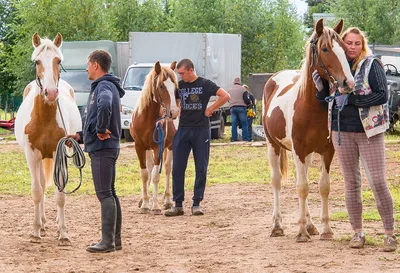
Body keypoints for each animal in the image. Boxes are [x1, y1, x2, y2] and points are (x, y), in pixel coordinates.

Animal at [14, 32, 81, 244]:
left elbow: (60, 194)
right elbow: (37, 191)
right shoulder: (31, 155)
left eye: (58, 60)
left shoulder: (60, 152)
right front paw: (36, 231)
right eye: (37, 61)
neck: (43, 118)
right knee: (42, 186)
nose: (50, 93)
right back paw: (42, 223)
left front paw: (63, 232)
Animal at [129, 60, 179, 214]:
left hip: (170, 146)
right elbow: (145, 174)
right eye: (161, 85)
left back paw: (167, 201)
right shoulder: (139, 147)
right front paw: (145, 203)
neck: (146, 118)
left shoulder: (158, 147)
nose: (174, 112)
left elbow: (156, 175)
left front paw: (155, 205)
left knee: (168, 169)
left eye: (175, 86)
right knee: (150, 169)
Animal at [264, 18, 354, 240]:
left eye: (345, 48)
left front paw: (325, 229)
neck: (310, 107)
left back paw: (311, 224)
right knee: (277, 181)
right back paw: (277, 225)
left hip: (307, 154)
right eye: (325, 48)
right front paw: (301, 232)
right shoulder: (298, 149)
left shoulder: (327, 151)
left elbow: (323, 187)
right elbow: (302, 188)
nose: (348, 82)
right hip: (273, 146)